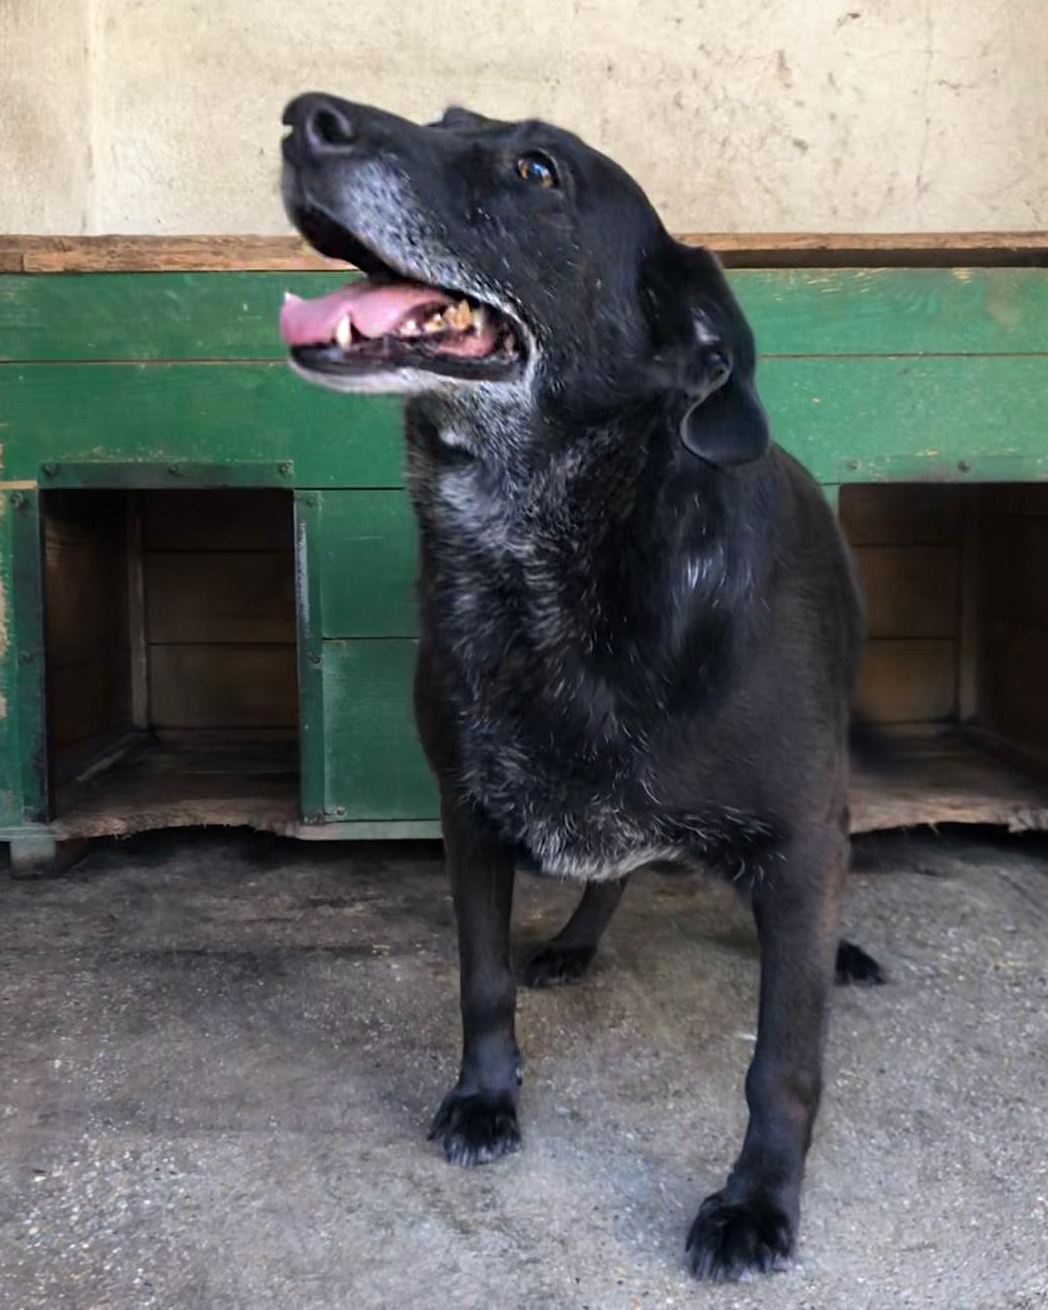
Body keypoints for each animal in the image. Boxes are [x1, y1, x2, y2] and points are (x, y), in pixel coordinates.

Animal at [279, 95, 882, 1281]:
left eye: (536, 170)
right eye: (443, 118)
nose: (300, 118)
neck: (547, 554)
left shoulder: (800, 837)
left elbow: (782, 1060)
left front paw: (757, 1200)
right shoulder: (468, 812)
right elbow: (481, 981)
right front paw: (485, 1097)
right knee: (610, 871)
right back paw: (573, 941)